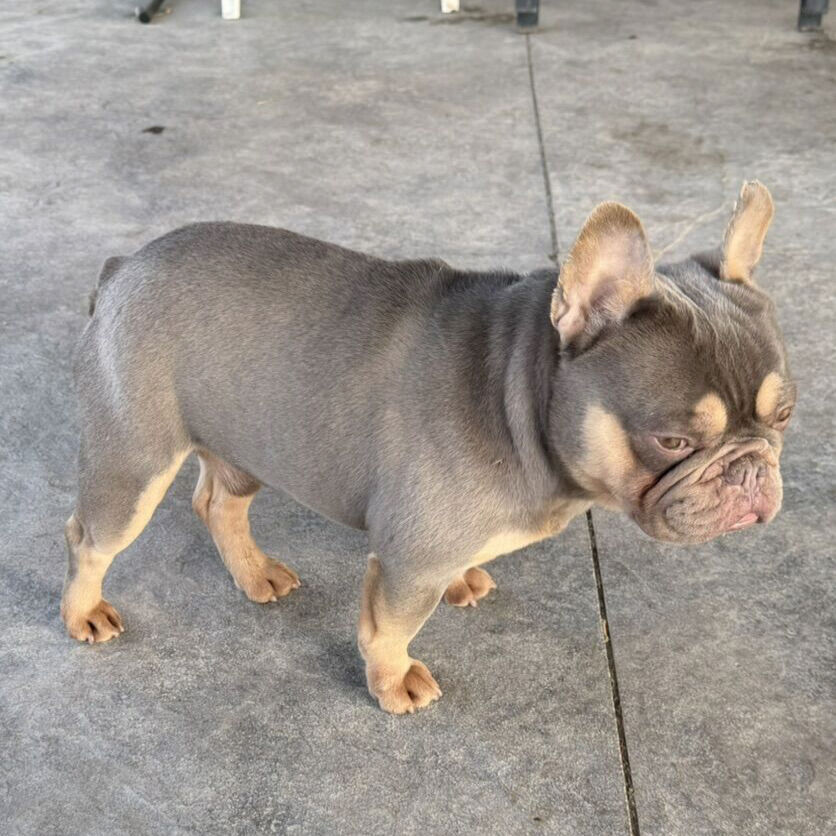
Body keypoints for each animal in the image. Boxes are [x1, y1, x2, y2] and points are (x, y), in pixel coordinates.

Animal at [61, 181, 794, 714]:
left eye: (784, 414)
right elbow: (389, 630)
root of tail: (124, 267)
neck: (518, 395)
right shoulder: (410, 561)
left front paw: (464, 579)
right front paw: (393, 685)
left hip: (244, 441)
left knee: (219, 503)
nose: (750, 470)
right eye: (672, 440)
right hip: (134, 461)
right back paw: (83, 612)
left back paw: (254, 572)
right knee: (90, 538)